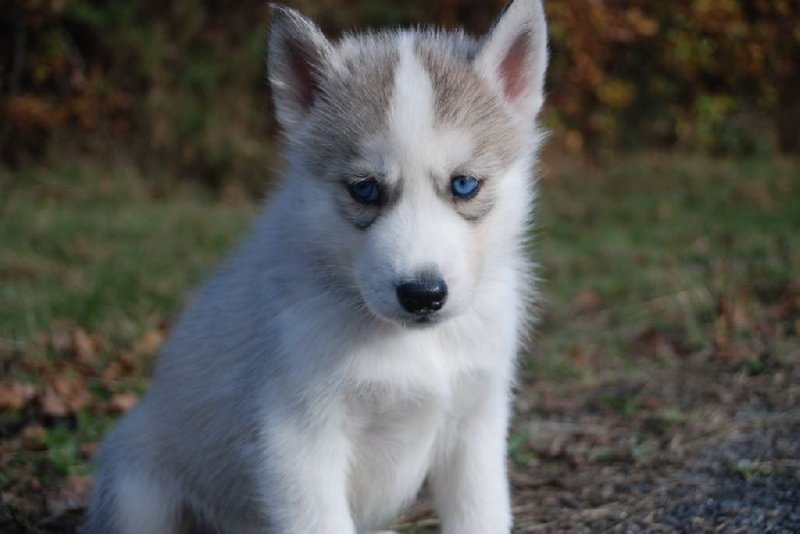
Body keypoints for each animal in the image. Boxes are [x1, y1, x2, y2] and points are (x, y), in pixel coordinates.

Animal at [84, 2, 552, 532]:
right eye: (364, 189)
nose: (423, 295)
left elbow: (481, 512)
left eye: (465, 185)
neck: (409, 346)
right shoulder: (297, 439)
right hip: (136, 490)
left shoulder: (477, 423)